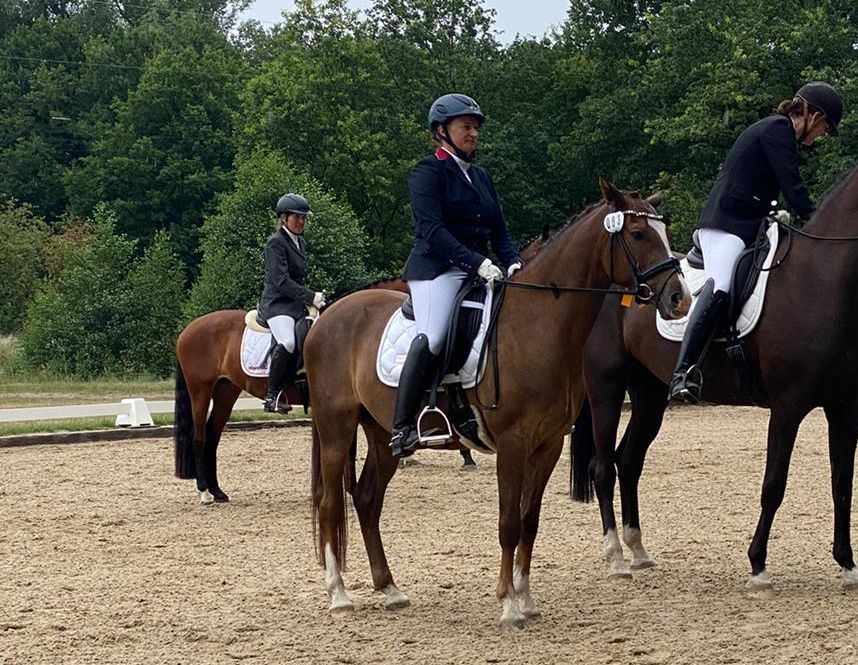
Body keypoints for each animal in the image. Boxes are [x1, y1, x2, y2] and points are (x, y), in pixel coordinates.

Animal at [172, 274, 412, 504]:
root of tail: (187, 329)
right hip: (200, 391)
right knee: (199, 438)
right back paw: (205, 493)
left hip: (225, 392)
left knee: (213, 437)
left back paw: (218, 492)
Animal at [302, 176, 688, 624]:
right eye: (639, 234)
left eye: (664, 232)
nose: (679, 298)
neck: (538, 324)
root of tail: (327, 316)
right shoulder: (512, 443)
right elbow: (508, 524)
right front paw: (507, 604)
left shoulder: (547, 445)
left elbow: (529, 521)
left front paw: (526, 598)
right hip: (335, 428)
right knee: (330, 503)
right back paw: (339, 595)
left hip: (381, 435)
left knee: (366, 500)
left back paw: (391, 589)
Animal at [568, 163, 856, 588]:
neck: (821, 279)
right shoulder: (788, 406)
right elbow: (774, 485)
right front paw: (758, 565)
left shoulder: (844, 407)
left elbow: (841, 485)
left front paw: (847, 564)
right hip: (607, 388)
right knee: (603, 467)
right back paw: (616, 558)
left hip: (650, 395)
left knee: (629, 461)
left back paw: (638, 552)